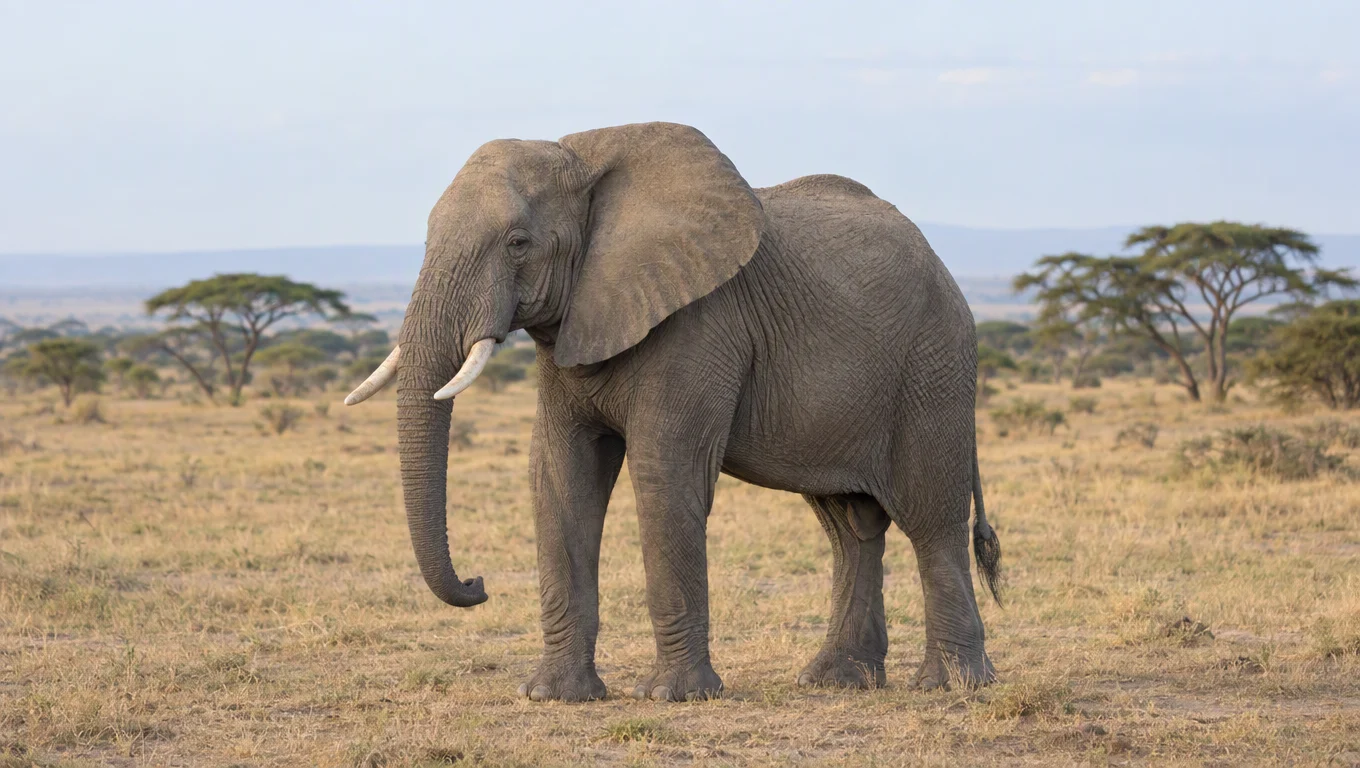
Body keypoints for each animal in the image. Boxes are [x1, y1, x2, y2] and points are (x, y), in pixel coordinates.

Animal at [346, 121, 1002, 701]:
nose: (477, 584)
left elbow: (664, 474)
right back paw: (835, 681)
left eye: (518, 242)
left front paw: (674, 696)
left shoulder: (700, 323)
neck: (583, 158)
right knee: (852, 527)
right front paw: (553, 696)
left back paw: (953, 686)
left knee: (931, 518)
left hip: (933, 365)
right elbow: (560, 474)